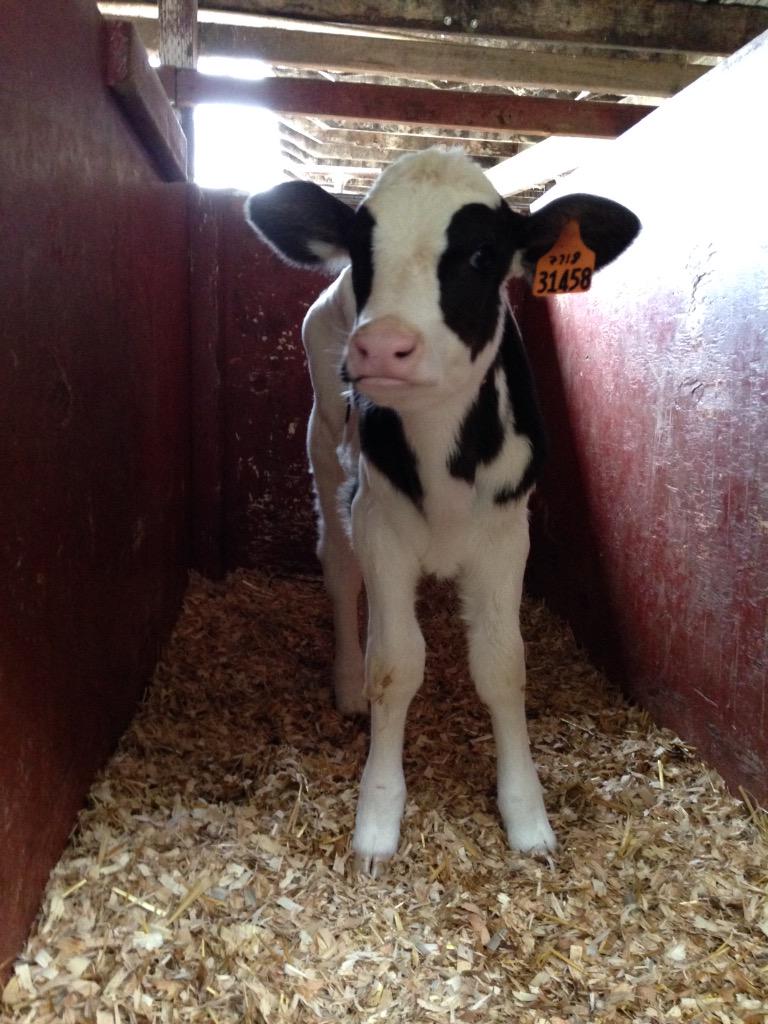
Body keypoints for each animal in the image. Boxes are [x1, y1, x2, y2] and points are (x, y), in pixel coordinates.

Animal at [245, 148, 639, 874]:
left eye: (484, 254)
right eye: (362, 249)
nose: (380, 346)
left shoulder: (508, 534)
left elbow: (502, 666)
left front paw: (527, 815)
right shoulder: (379, 523)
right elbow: (395, 664)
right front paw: (377, 817)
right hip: (324, 454)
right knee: (340, 574)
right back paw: (347, 681)